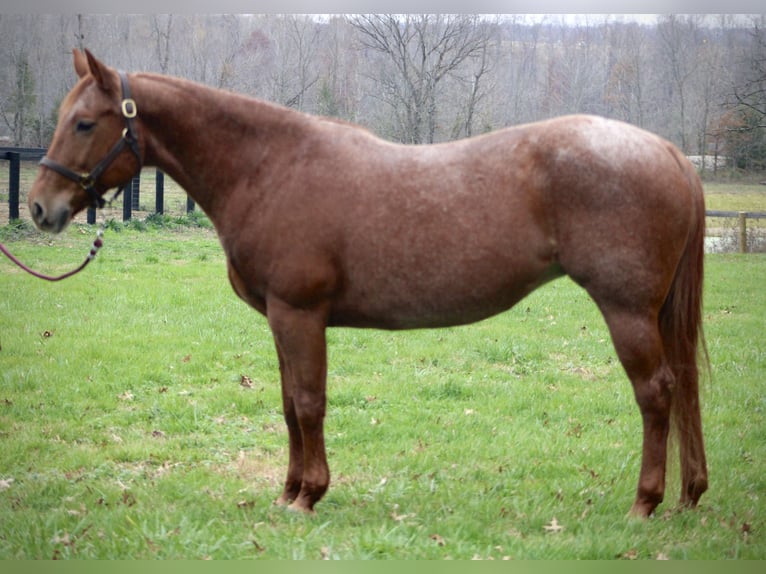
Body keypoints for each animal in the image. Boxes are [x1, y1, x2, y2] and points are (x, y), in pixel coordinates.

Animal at [27, 48, 712, 516]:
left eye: (85, 123)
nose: (39, 208)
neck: (270, 168)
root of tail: (669, 153)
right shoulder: (282, 318)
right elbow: (288, 404)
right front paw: (288, 493)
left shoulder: (300, 313)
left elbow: (309, 402)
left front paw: (309, 496)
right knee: (683, 388)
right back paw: (689, 493)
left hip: (626, 310)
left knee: (656, 393)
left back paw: (645, 503)